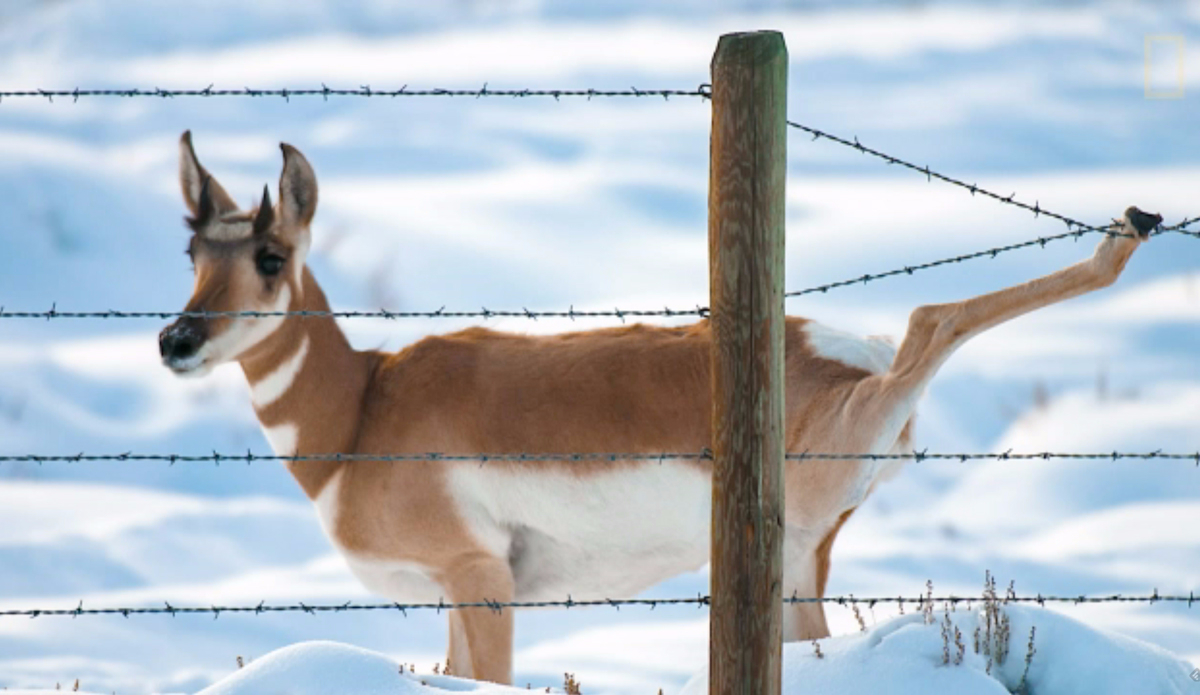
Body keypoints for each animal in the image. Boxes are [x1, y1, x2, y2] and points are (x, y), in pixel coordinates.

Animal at [159, 132, 1152, 686]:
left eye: (271, 257)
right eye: (193, 253)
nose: (176, 339)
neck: (363, 408)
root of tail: (832, 349)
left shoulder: (480, 578)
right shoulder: (451, 593)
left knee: (928, 317)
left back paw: (1124, 233)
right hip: (801, 556)